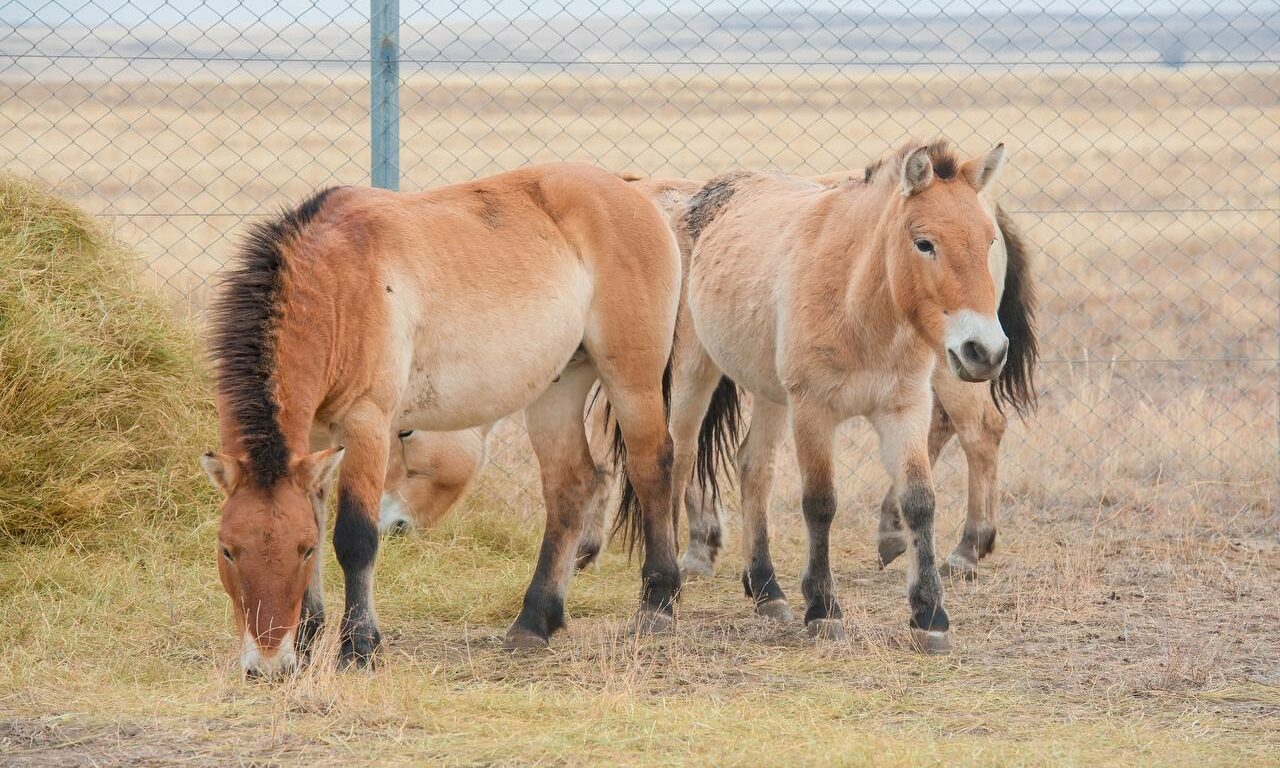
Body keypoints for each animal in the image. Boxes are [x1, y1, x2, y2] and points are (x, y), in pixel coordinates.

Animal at [200, 161, 686, 670]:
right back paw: (535, 620)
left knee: (652, 465)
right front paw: (310, 639)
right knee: (571, 486)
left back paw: (657, 604)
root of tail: (628, 190)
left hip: (631, 379)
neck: (337, 286)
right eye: (228, 550)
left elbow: (355, 538)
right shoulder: (314, 439)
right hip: (559, 387)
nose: (267, 664)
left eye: (303, 549)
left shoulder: (367, 424)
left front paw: (358, 646)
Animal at [660, 140, 1018, 650]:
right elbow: (820, 503)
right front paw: (824, 609)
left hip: (770, 392)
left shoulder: (904, 408)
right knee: (682, 456)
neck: (860, 302)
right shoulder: (813, 410)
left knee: (754, 466)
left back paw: (766, 588)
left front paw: (929, 614)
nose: (985, 351)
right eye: (924, 243)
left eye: (987, 241)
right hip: (696, 372)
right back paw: (669, 583)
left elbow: (919, 500)